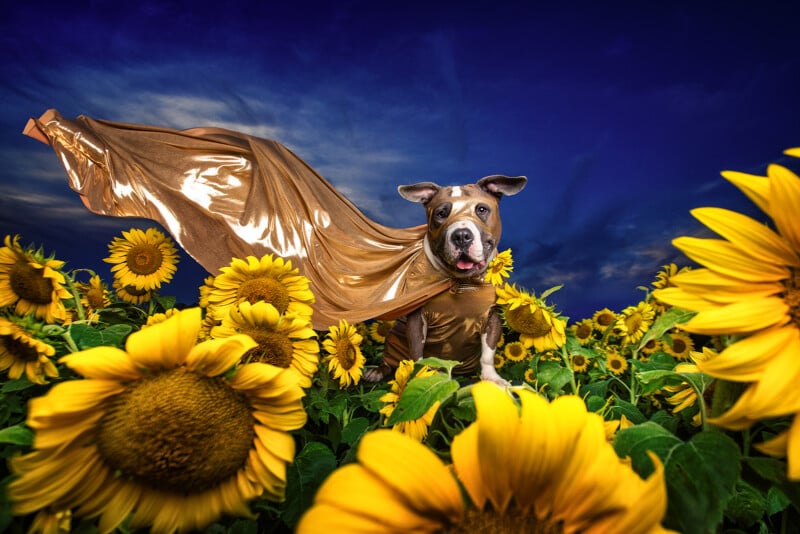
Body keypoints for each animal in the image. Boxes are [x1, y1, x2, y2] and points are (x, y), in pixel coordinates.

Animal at [362, 176, 524, 386]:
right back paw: (377, 371)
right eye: (441, 213)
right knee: (389, 361)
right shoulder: (417, 320)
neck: (460, 282)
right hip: (393, 337)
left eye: (481, 209)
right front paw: (421, 375)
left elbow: (487, 354)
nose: (461, 235)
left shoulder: (492, 318)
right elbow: (417, 354)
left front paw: (492, 378)